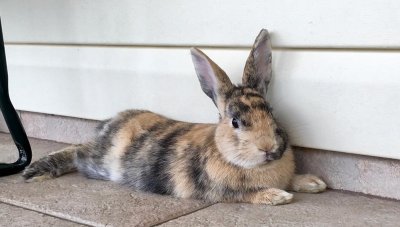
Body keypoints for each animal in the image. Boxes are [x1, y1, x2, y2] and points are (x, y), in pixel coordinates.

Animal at [22, 29, 324, 205]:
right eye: (235, 122)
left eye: (271, 112)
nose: (268, 148)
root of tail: (107, 125)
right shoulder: (220, 191)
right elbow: (248, 194)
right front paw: (279, 196)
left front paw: (313, 183)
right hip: (98, 162)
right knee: (76, 151)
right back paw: (37, 170)